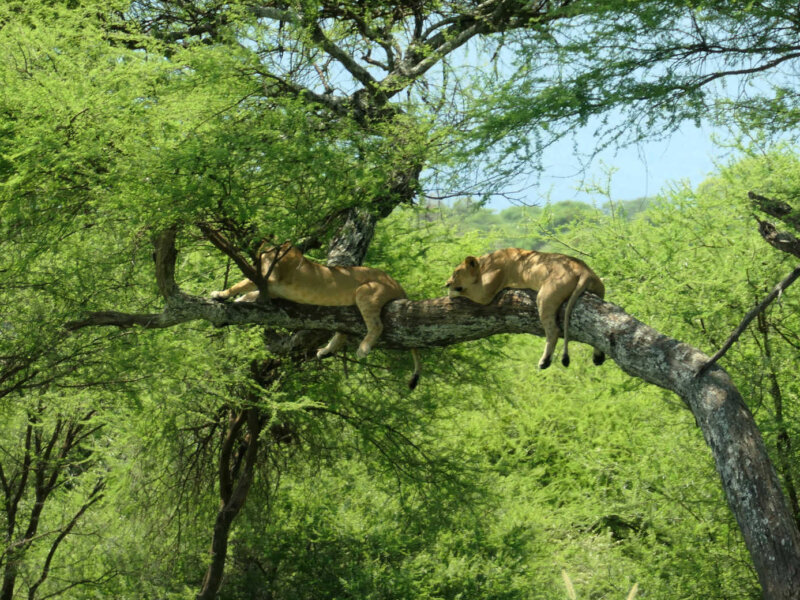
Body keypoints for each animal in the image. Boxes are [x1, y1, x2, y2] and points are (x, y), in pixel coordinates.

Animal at [211, 242, 421, 389]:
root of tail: (397, 283)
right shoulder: (272, 291)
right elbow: (249, 294)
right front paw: (238, 300)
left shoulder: (269, 280)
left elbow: (239, 285)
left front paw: (220, 294)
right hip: (350, 307)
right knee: (343, 332)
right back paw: (325, 351)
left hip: (365, 291)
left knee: (377, 326)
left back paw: (363, 349)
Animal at [445, 248, 605, 369]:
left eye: (456, 273)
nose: (447, 283)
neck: (484, 263)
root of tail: (584, 270)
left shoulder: (485, 293)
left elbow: (466, 292)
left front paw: (451, 292)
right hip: (600, 290)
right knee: (598, 329)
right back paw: (598, 357)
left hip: (546, 296)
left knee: (554, 331)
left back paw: (544, 361)